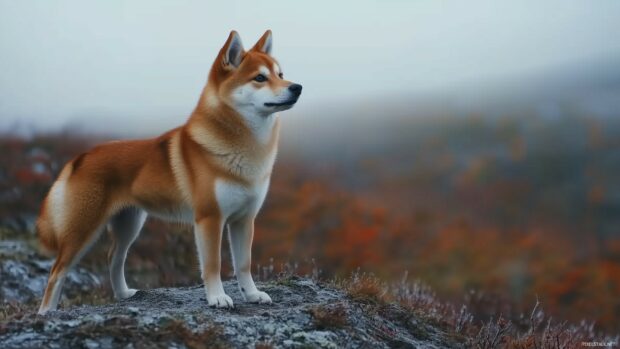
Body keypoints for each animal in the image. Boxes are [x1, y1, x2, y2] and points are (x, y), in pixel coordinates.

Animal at [36, 29, 302, 312]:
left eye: (280, 74)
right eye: (260, 78)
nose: (297, 87)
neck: (247, 150)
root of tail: (80, 157)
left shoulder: (244, 219)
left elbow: (243, 265)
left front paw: (252, 295)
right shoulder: (209, 218)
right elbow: (213, 265)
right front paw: (217, 297)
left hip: (129, 224)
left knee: (113, 257)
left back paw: (123, 294)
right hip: (83, 230)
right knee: (57, 271)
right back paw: (46, 313)